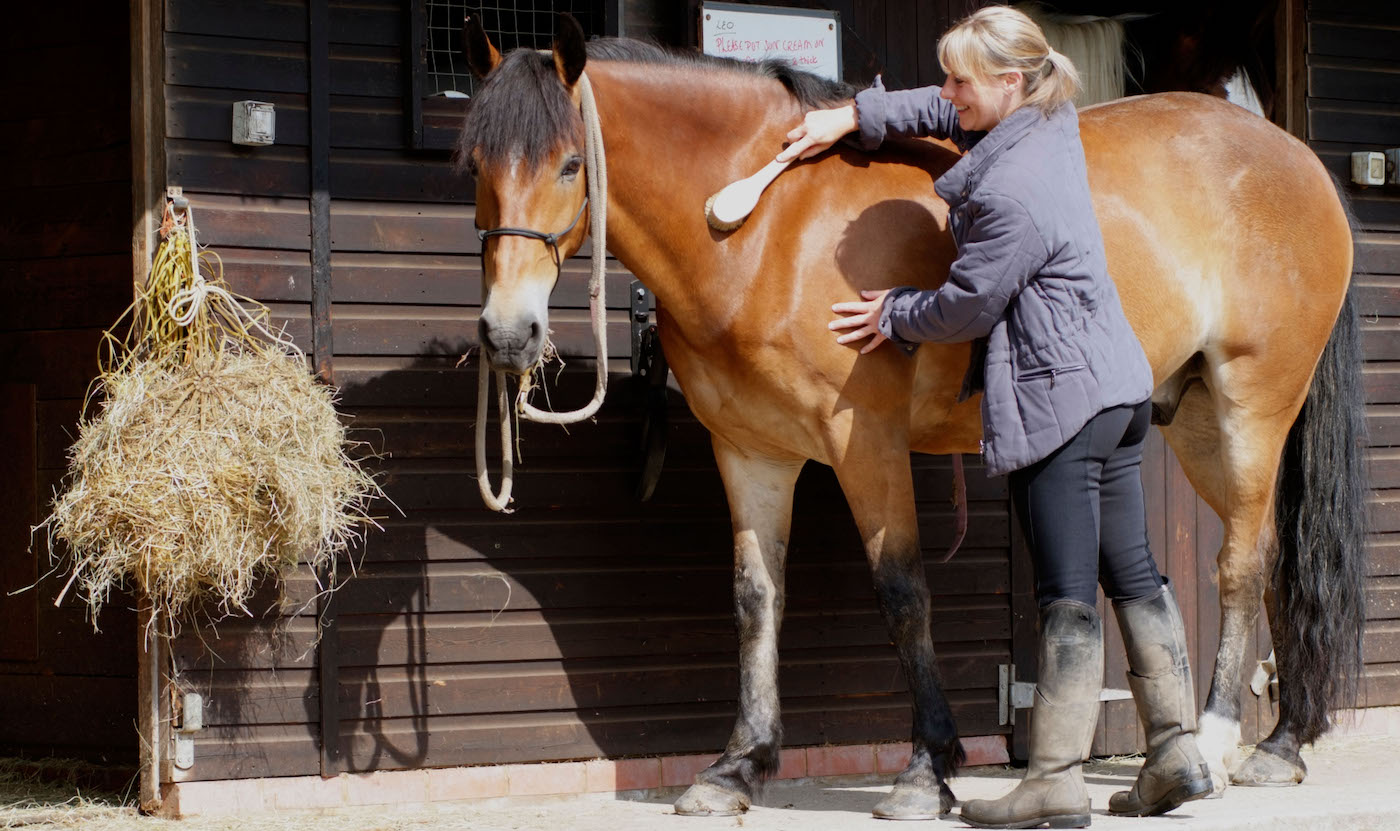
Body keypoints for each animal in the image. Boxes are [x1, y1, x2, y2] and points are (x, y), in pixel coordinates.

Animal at [457, 14, 1366, 819]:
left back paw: (1213, 743)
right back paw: (1275, 743)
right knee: (1268, 558)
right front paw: (737, 766)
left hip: (1252, 409)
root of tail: (1297, 159)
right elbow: (757, 598)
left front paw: (928, 769)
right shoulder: (750, 450)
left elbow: (902, 592)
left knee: (1240, 565)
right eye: (474, 164)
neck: (766, 226)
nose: (508, 331)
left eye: (571, 164)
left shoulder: (865, 443)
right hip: (1198, 421)